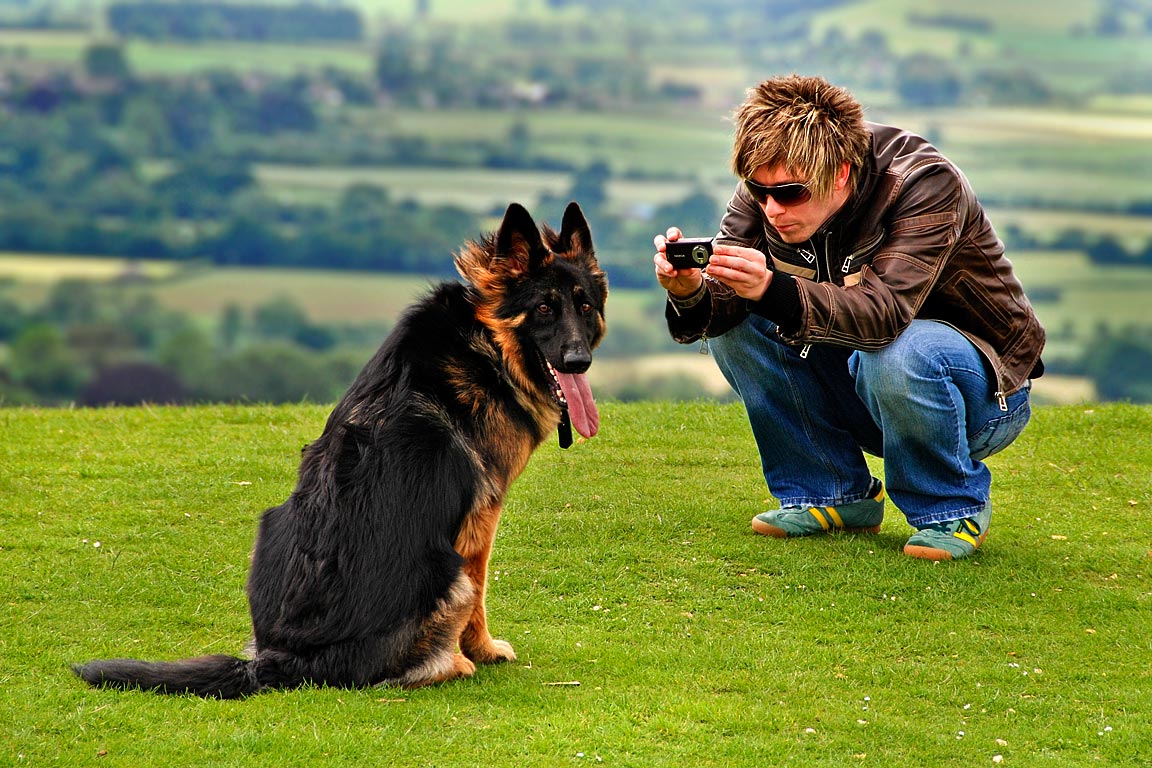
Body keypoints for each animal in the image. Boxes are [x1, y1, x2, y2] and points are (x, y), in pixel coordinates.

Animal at [75, 202, 608, 695]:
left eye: (584, 306)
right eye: (544, 308)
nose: (578, 361)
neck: (487, 340)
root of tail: (286, 659)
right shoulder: (481, 518)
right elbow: (481, 592)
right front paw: (484, 649)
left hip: (272, 525)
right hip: (447, 577)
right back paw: (455, 663)